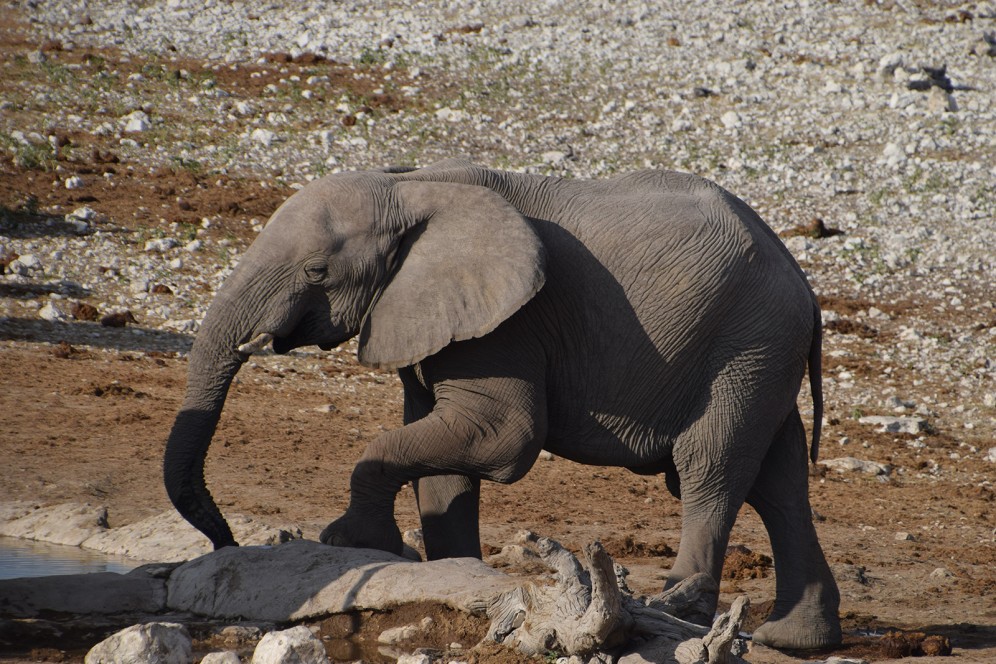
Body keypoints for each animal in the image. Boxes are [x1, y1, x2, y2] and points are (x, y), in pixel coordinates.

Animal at [163, 160, 840, 648]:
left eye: (316, 272)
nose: (224, 544)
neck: (410, 186)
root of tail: (805, 287)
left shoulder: (509, 324)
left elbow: (502, 437)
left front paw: (355, 542)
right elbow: (437, 449)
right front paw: (451, 575)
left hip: (745, 346)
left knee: (710, 471)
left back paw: (686, 611)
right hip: (762, 354)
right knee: (779, 481)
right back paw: (797, 639)